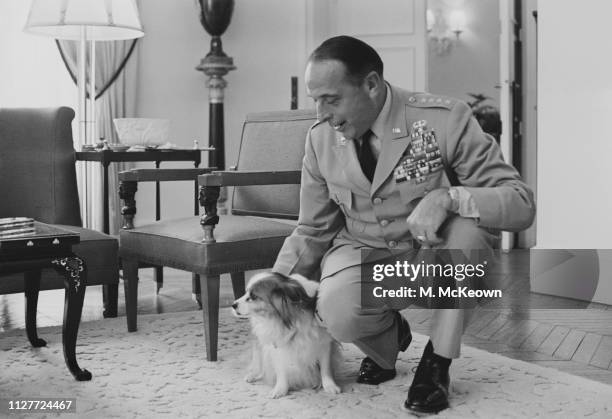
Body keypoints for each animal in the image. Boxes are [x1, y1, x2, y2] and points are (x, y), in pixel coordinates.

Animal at [232, 272, 342, 400]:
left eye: (253, 296)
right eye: (245, 293)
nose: (233, 305)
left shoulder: (324, 344)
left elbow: (325, 369)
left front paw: (329, 385)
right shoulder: (277, 348)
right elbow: (281, 370)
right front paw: (280, 389)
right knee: (259, 361)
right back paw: (253, 375)